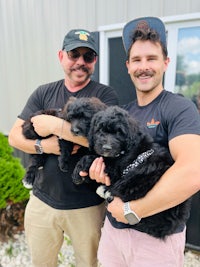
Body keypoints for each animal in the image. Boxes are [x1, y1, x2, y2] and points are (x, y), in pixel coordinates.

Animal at [72, 105, 191, 240]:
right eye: (100, 130)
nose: (107, 148)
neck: (124, 151)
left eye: (119, 132)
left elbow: (92, 158)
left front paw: (78, 171)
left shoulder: (116, 168)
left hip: (142, 175)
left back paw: (106, 191)